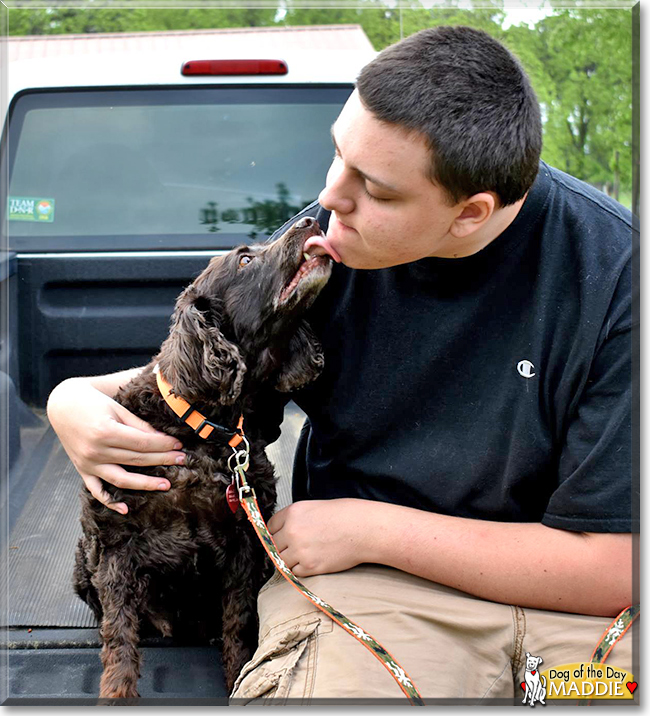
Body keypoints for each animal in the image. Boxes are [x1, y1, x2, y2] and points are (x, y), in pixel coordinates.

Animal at [73, 218, 332, 700]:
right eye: (245, 259)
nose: (309, 221)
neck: (203, 429)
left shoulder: (243, 545)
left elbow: (238, 623)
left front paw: (236, 677)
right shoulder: (115, 546)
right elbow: (119, 637)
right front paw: (117, 694)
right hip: (86, 560)